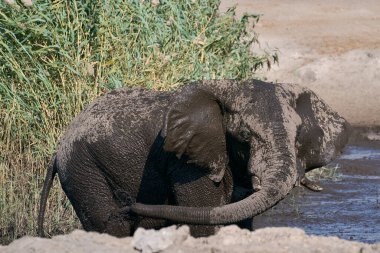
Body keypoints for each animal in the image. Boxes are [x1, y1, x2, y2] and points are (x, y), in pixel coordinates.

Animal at [38, 79, 350, 237]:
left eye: (299, 136)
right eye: (244, 135)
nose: (129, 204)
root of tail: (59, 147)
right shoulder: (185, 162)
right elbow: (203, 216)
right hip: (83, 169)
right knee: (108, 226)